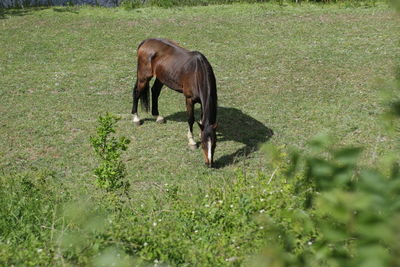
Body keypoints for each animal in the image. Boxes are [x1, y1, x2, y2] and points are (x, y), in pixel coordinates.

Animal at [131, 38, 219, 168]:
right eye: (203, 144)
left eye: (214, 144)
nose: (209, 164)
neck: (197, 72)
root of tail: (146, 41)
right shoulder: (189, 99)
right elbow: (190, 119)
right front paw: (192, 141)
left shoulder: (202, 102)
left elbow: (202, 119)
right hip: (143, 77)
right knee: (137, 93)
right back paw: (136, 118)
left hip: (161, 78)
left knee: (155, 91)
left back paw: (158, 116)